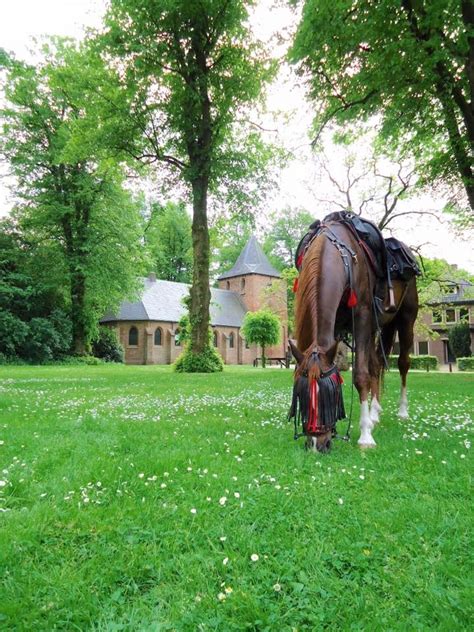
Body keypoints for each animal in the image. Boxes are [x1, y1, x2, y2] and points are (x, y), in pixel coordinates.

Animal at [288, 215, 418, 452]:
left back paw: (402, 411)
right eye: (302, 394)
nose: (317, 445)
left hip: (405, 319)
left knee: (403, 363)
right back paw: (375, 412)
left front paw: (365, 435)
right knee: (377, 364)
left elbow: (360, 376)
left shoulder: (363, 316)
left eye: (330, 394)